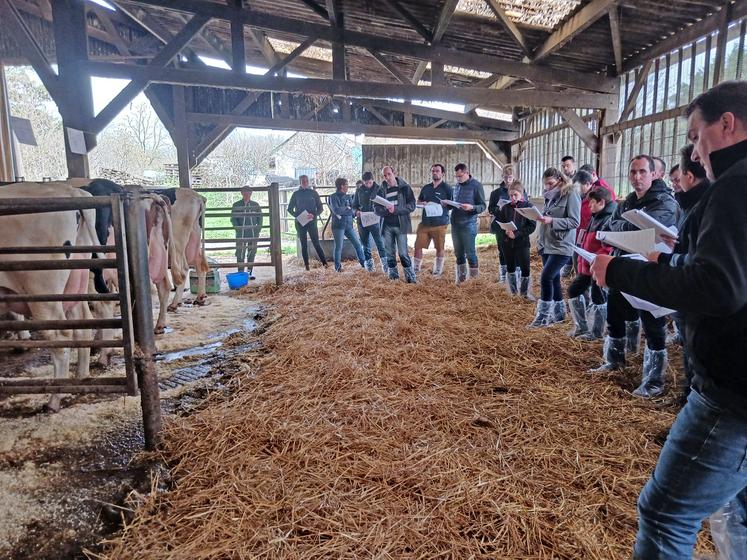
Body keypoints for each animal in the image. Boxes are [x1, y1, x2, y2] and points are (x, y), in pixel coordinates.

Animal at [0, 184, 102, 412]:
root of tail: (72, 191)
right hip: (75, 282)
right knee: (83, 324)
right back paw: (81, 376)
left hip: (41, 289)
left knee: (59, 337)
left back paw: (54, 399)